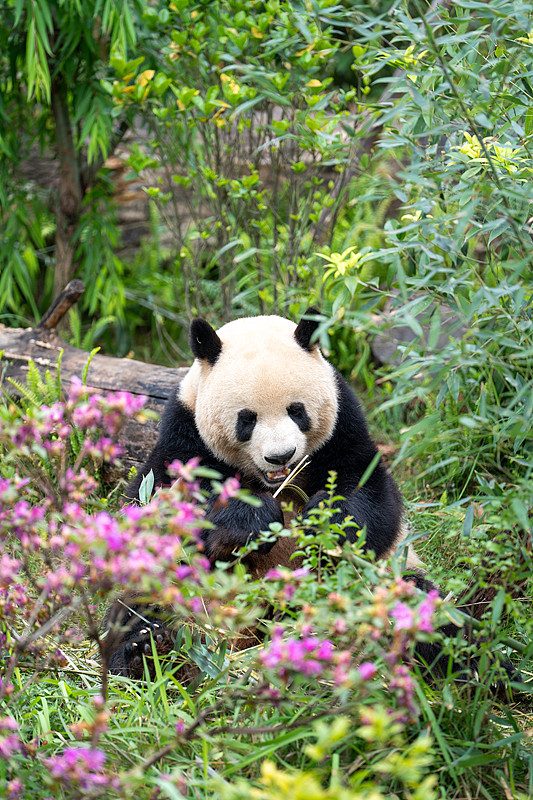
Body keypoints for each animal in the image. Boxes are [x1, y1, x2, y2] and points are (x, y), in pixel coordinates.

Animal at [103, 311, 469, 680]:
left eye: (297, 410)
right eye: (246, 419)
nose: (281, 456)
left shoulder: (343, 427)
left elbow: (374, 497)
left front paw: (324, 523)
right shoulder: (184, 434)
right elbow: (163, 504)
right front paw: (253, 520)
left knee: (424, 605)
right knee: (141, 607)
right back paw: (146, 651)